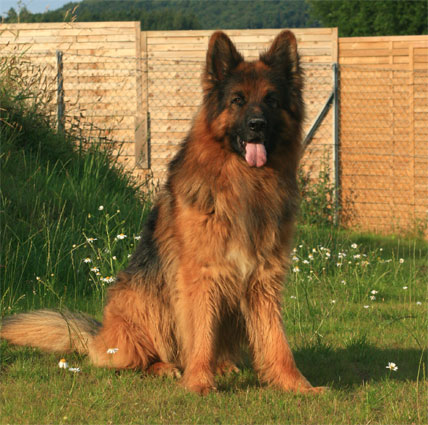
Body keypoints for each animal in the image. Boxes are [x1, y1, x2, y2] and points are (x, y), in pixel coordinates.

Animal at [1, 30, 324, 395]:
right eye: (238, 100)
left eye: (271, 100)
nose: (257, 125)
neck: (245, 183)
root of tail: (99, 336)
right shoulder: (200, 277)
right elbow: (200, 334)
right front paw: (198, 383)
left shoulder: (263, 279)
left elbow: (276, 340)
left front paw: (296, 385)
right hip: (143, 301)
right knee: (138, 358)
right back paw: (164, 367)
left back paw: (223, 366)